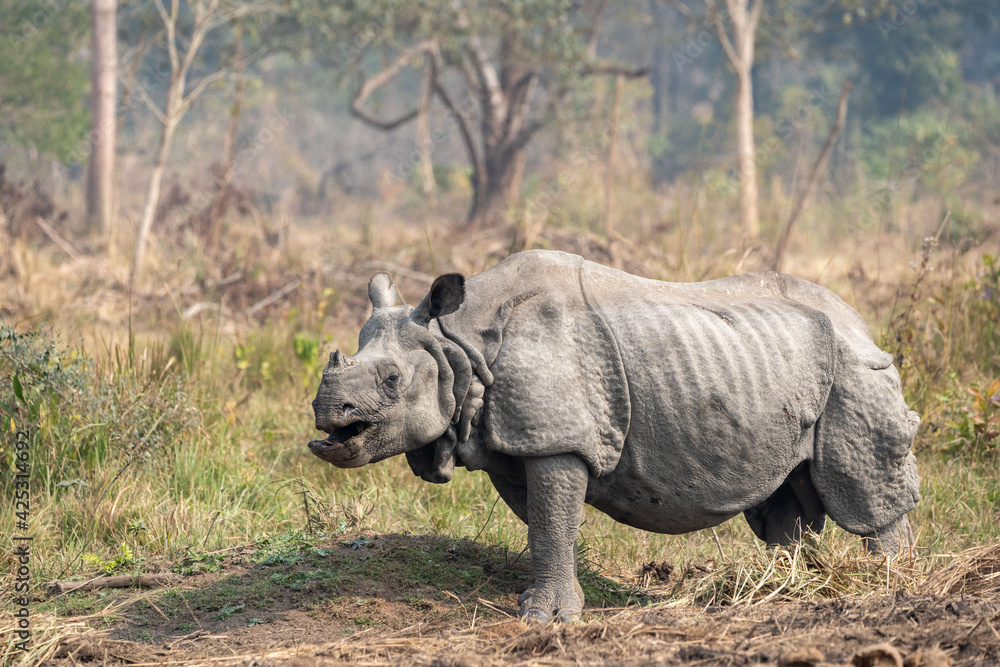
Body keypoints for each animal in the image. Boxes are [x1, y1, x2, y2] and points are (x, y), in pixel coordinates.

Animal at [309, 250, 920, 623]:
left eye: (392, 381)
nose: (324, 415)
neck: (459, 341)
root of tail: (861, 321)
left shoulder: (557, 439)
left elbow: (552, 524)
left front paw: (544, 618)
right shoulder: (518, 440)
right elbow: (548, 524)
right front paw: (553, 603)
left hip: (855, 369)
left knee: (863, 493)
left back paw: (891, 585)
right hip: (775, 362)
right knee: (784, 500)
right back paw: (783, 592)